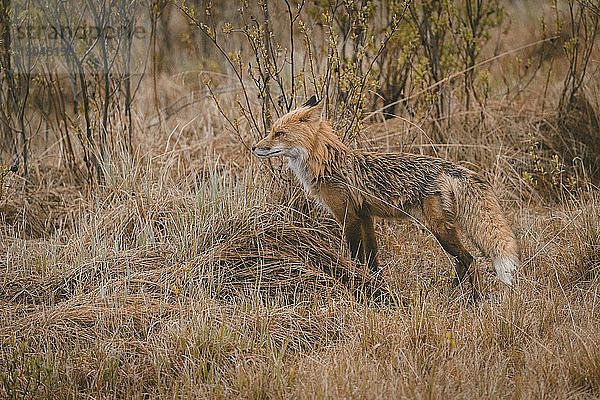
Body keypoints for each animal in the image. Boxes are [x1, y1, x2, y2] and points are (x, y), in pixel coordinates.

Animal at [251, 95, 516, 298]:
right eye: (272, 131)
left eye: (279, 133)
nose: (254, 147)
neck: (327, 165)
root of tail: (450, 167)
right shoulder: (365, 216)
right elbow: (372, 260)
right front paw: (376, 285)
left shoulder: (348, 216)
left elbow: (357, 257)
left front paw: (359, 284)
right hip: (443, 230)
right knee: (461, 263)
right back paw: (450, 293)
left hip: (440, 230)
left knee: (470, 261)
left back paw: (475, 299)